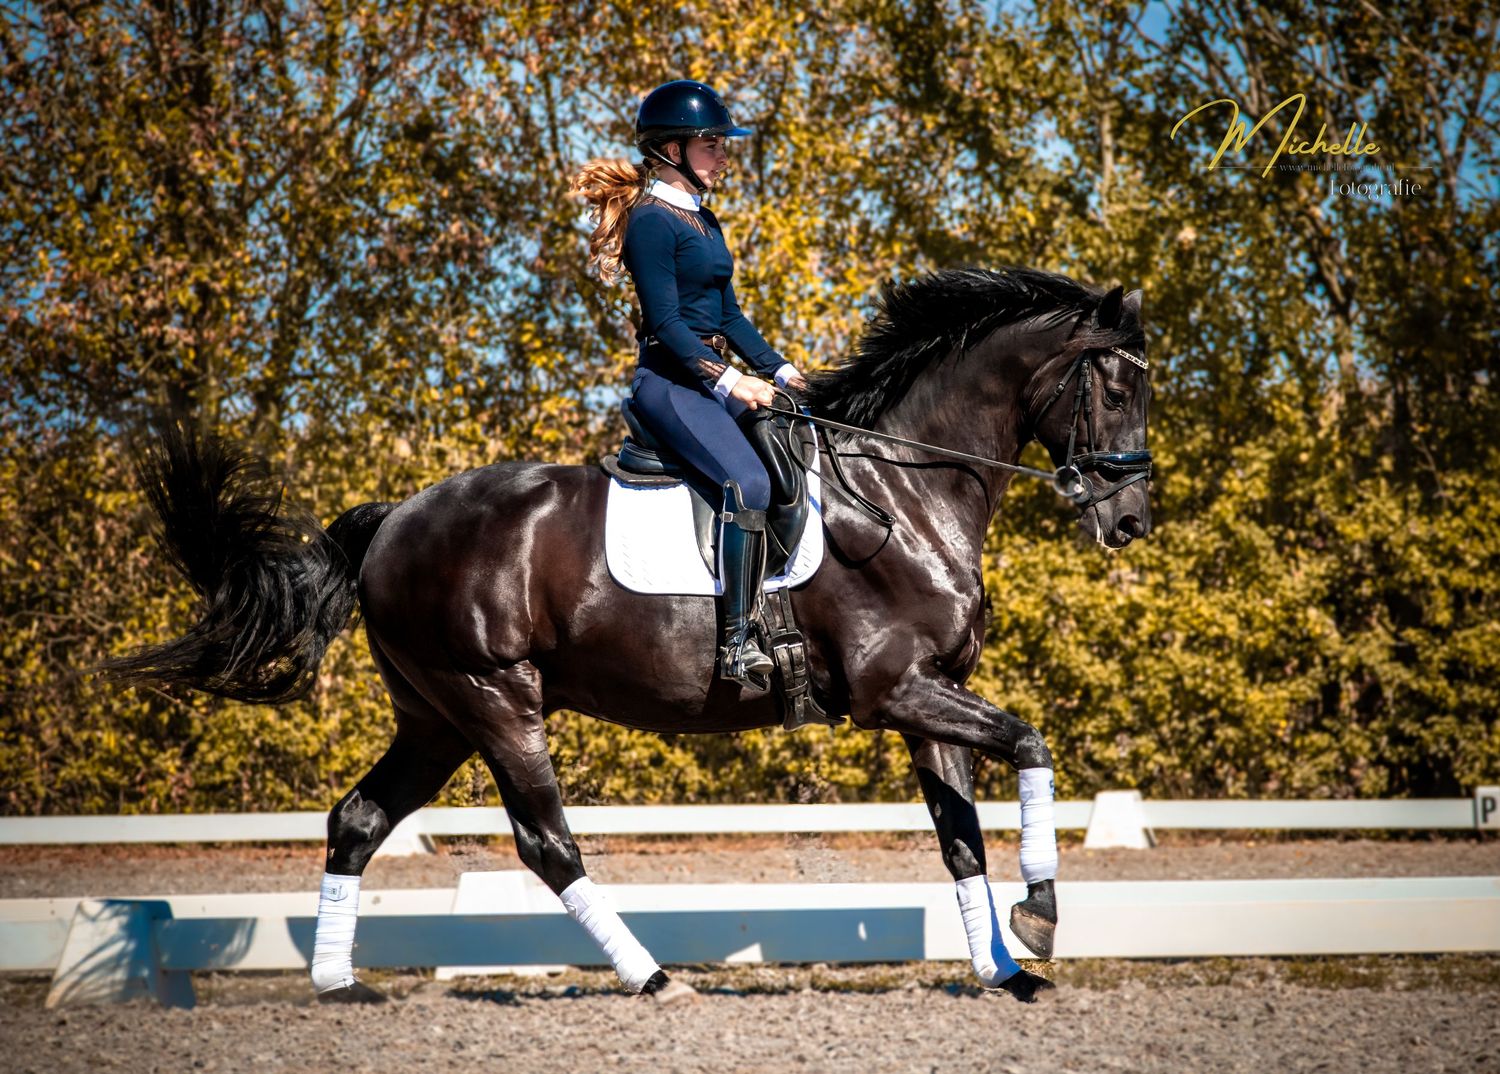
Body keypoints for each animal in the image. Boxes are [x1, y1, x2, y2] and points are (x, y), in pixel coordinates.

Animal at [109, 266, 1151, 1005]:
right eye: (1114, 388)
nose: (1131, 520)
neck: (899, 488)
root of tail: (395, 517)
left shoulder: (929, 694)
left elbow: (961, 837)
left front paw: (1006, 969)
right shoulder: (894, 688)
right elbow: (1030, 743)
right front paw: (1042, 914)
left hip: (436, 718)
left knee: (358, 820)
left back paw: (339, 984)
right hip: (495, 698)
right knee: (547, 843)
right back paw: (653, 977)